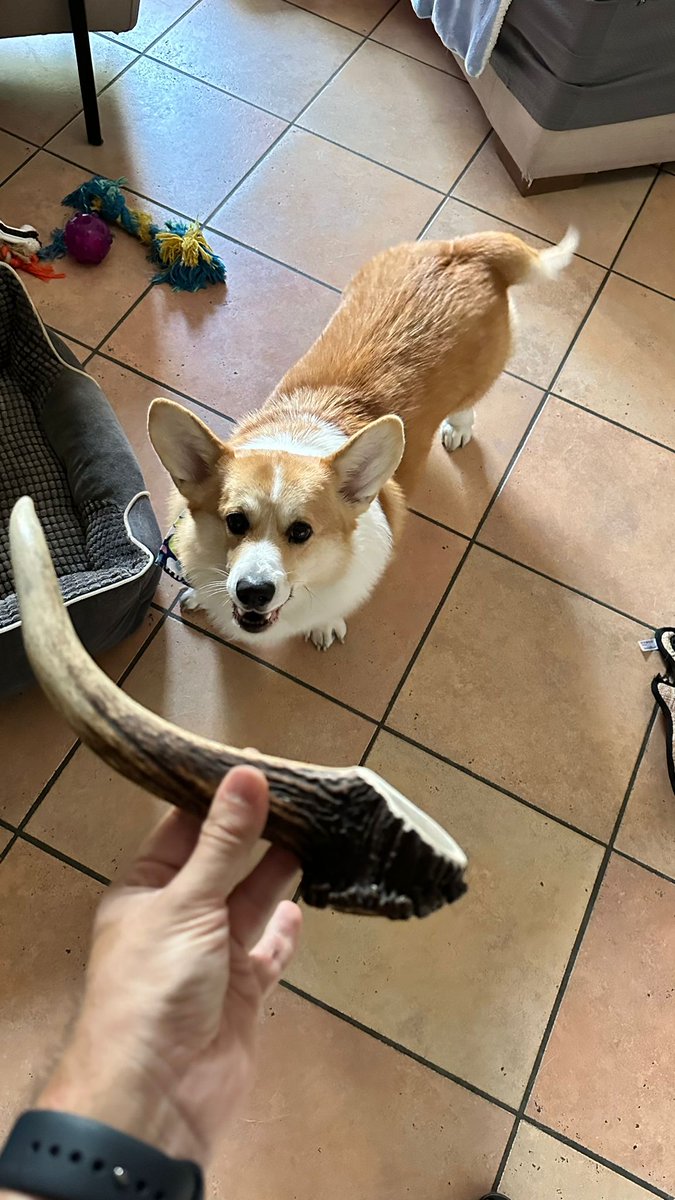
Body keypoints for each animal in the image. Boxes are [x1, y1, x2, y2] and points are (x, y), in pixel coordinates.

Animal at [145, 229, 571, 652]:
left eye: (301, 532)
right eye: (235, 521)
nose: (253, 592)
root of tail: (464, 250)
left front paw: (324, 627)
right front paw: (200, 595)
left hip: (480, 380)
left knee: (470, 403)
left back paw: (459, 427)